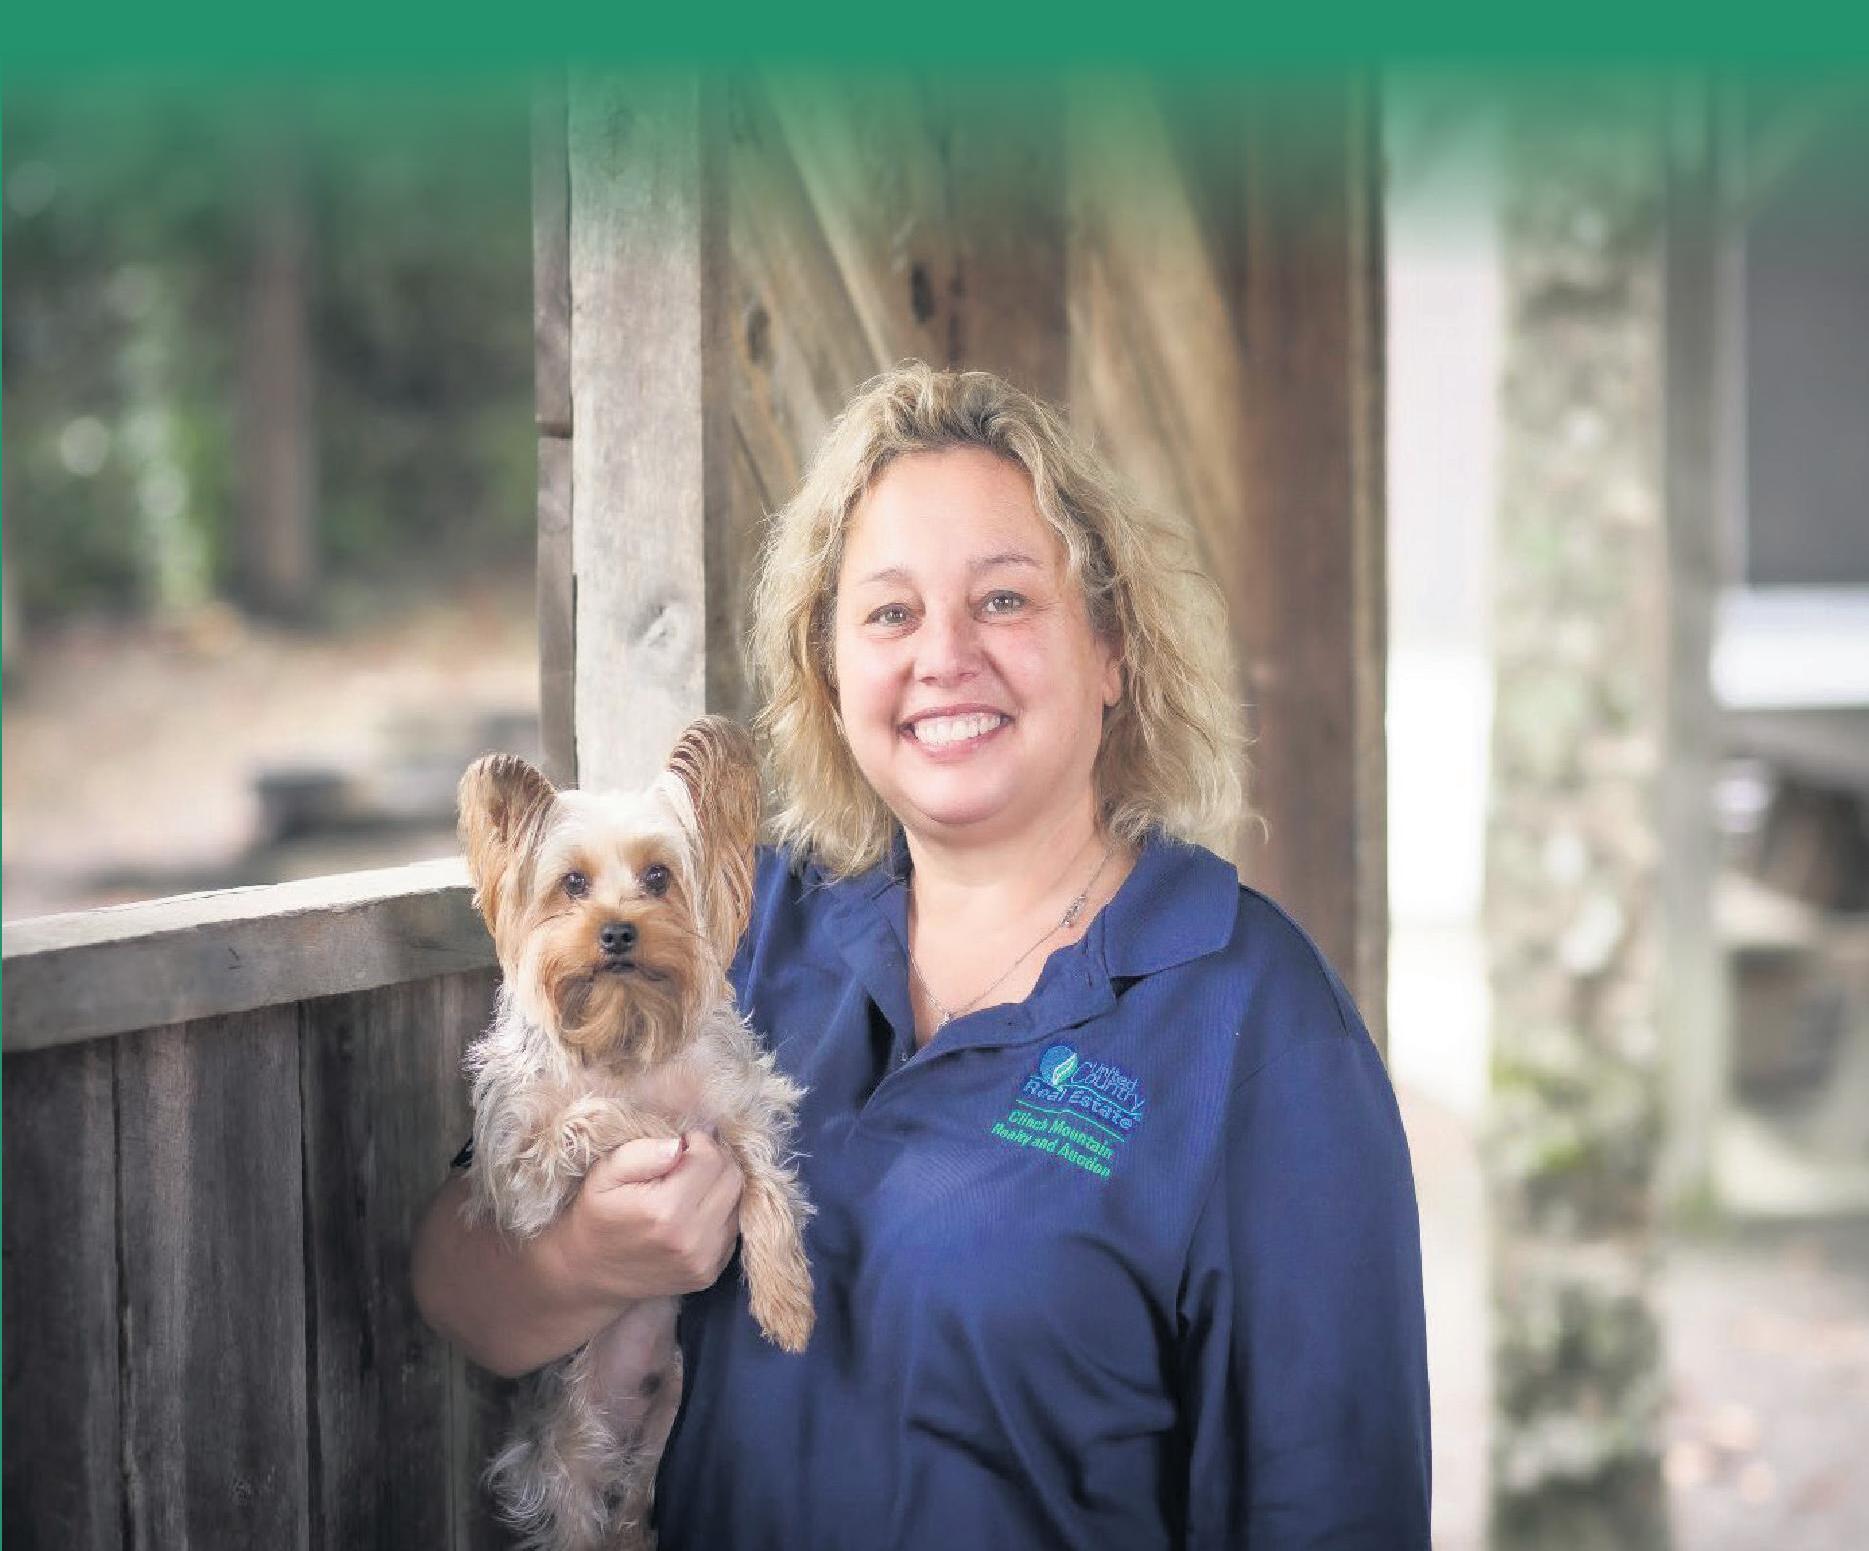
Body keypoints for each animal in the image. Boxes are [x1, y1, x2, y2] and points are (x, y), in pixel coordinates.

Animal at [456, 716, 814, 1551]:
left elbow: (766, 1184)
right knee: (578, 1515)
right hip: (564, 1453)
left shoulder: (740, 1102)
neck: (624, 1030)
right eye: (571, 884)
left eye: (657, 876)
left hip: (662, 1428)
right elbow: (588, 1118)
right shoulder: (516, 1172)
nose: (618, 930)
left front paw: (786, 1302)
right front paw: (652, 1124)